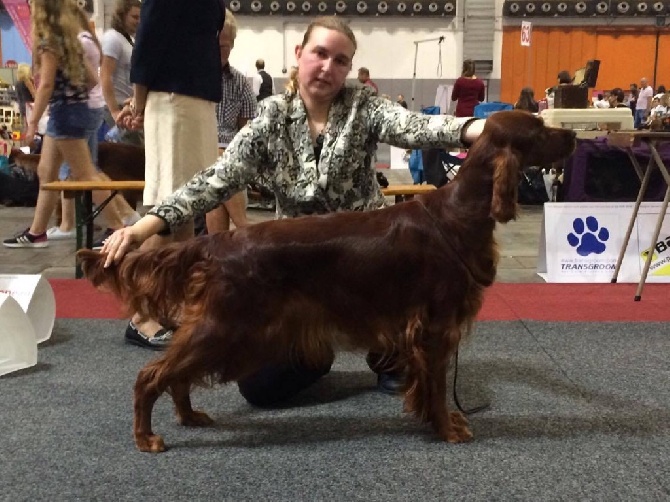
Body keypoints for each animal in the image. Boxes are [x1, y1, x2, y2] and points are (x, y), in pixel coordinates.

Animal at [77, 112, 576, 452]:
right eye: (539, 130)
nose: (572, 135)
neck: (458, 215)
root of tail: (218, 242)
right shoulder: (436, 326)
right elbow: (435, 387)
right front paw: (447, 427)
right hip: (225, 327)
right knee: (152, 375)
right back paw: (147, 437)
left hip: (225, 332)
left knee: (177, 375)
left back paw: (189, 415)